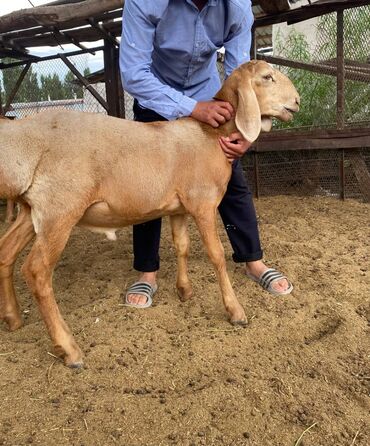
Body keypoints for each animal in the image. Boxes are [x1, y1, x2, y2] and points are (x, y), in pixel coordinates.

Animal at [0, 61, 300, 368]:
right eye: (267, 77)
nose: (297, 101)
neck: (211, 136)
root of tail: (22, 137)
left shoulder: (179, 207)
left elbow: (182, 246)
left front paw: (184, 291)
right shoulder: (203, 203)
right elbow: (216, 256)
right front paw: (235, 311)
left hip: (33, 211)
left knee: (6, 251)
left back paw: (12, 318)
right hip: (60, 210)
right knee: (36, 271)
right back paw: (69, 349)